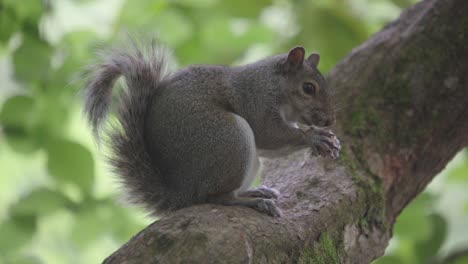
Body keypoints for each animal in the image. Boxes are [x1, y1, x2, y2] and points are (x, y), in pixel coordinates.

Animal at [83, 41, 340, 218]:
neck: (275, 83)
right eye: (308, 88)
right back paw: (253, 201)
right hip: (231, 138)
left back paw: (256, 192)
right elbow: (268, 133)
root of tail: (184, 191)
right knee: (217, 197)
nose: (330, 120)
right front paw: (314, 137)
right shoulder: (257, 101)